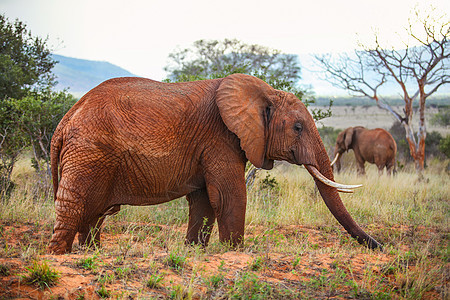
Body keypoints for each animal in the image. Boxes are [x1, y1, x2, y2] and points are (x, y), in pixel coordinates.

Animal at [48, 73, 380, 253]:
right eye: (298, 128)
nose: (380, 246)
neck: (263, 92)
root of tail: (64, 120)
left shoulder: (207, 145)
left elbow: (204, 201)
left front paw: (195, 250)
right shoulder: (220, 138)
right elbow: (229, 194)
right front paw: (236, 252)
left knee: (94, 212)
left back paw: (91, 253)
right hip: (87, 151)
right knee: (74, 204)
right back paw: (60, 257)